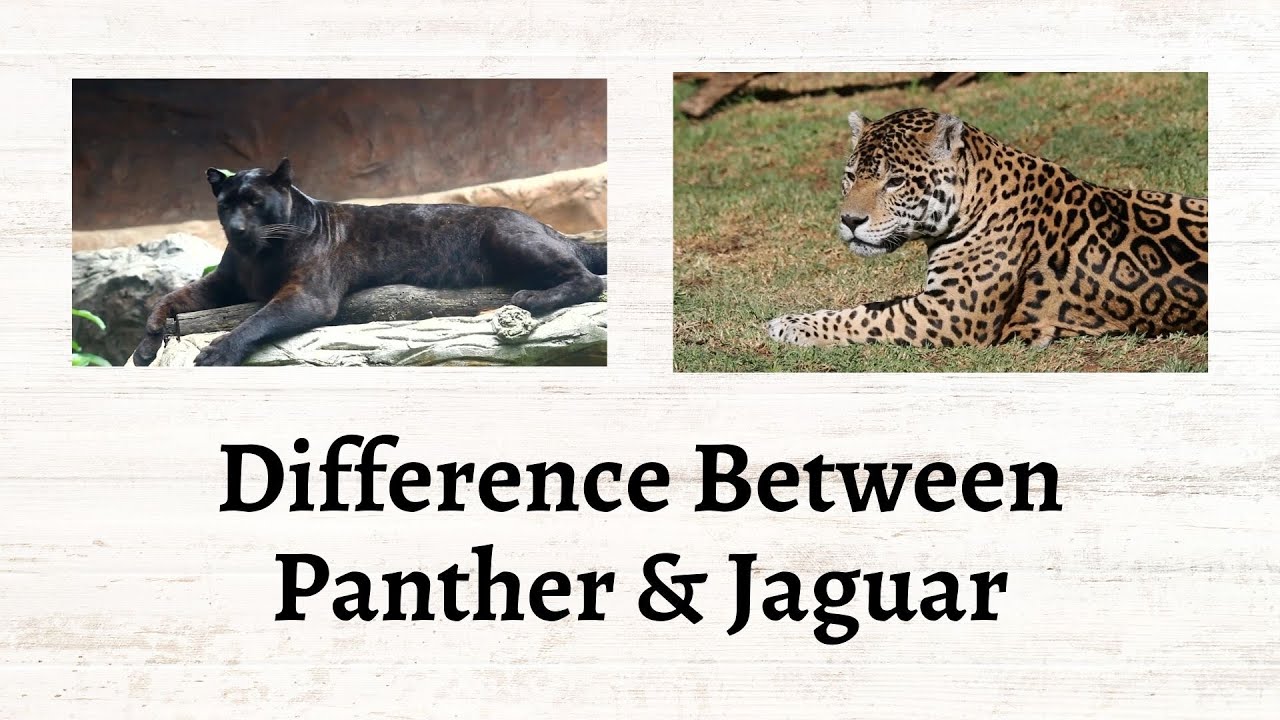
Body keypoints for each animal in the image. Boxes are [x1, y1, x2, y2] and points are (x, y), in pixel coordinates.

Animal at [766, 108, 1208, 349]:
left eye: (895, 182)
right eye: (850, 176)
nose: (850, 221)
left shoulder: (950, 312)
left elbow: (864, 317)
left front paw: (790, 325)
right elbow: (874, 304)